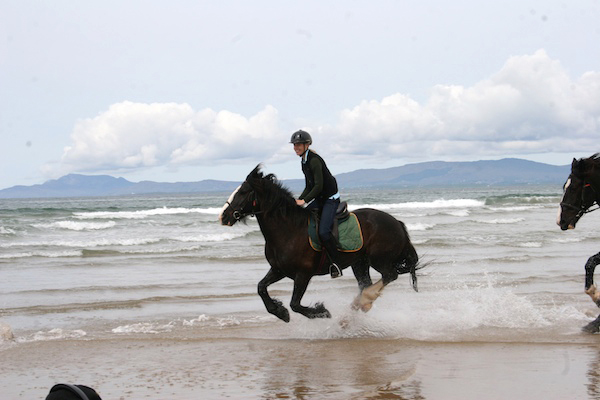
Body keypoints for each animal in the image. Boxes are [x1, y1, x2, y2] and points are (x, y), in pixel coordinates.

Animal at [218, 164, 420, 324]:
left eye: (243, 192)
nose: (223, 216)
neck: (288, 229)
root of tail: (397, 223)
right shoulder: (278, 270)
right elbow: (261, 288)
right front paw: (280, 312)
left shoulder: (303, 274)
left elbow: (295, 304)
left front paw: (321, 312)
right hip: (360, 263)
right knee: (366, 284)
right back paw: (353, 313)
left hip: (379, 259)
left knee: (389, 275)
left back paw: (362, 303)